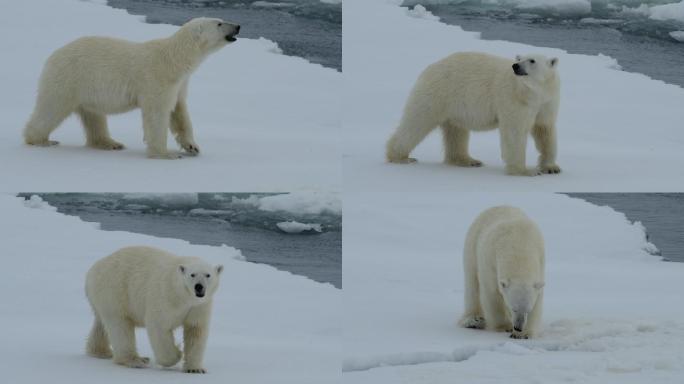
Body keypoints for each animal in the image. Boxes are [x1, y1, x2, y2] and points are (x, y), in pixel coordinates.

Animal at [23, 17, 240, 159]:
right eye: (219, 23)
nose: (238, 26)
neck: (174, 59)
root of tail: (53, 55)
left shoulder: (179, 83)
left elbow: (179, 112)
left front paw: (192, 147)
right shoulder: (157, 78)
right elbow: (157, 114)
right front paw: (165, 154)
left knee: (94, 116)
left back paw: (110, 143)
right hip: (70, 78)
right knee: (52, 107)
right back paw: (40, 140)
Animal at [84, 248, 224, 374]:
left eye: (208, 275)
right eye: (192, 274)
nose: (199, 286)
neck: (182, 296)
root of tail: (92, 271)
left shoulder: (198, 306)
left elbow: (195, 331)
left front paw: (195, 369)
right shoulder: (165, 296)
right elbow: (159, 327)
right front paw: (177, 354)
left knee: (102, 324)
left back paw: (100, 352)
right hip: (114, 291)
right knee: (120, 326)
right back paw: (136, 360)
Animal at [384, 51, 560, 176]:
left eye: (532, 60)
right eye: (519, 58)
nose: (515, 66)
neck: (532, 93)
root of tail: (428, 68)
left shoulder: (546, 102)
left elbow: (544, 130)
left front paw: (551, 168)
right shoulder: (513, 98)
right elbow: (514, 132)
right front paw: (525, 171)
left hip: (453, 105)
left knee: (456, 131)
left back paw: (468, 160)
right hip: (437, 94)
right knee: (417, 121)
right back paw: (400, 157)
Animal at [456, 206, 548, 338]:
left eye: (528, 310)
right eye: (513, 308)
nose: (518, 327)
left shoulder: (540, 262)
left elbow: (538, 300)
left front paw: (523, 334)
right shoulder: (490, 262)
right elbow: (492, 294)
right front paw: (504, 327)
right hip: (472, 246)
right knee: (472, 284)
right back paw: (474, 320)